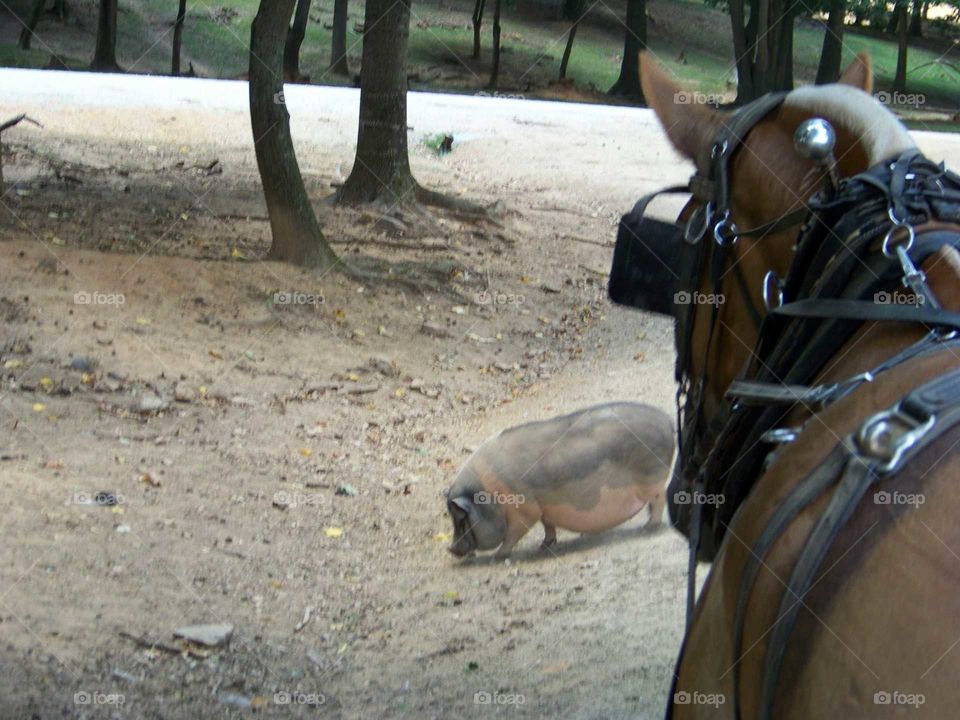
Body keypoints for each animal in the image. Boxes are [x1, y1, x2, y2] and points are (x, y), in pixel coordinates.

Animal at [445, 402, 674, 559]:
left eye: (461, 518)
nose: (451, 549)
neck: (490, 494)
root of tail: (667, 421)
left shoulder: (525, 511)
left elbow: (514, 533)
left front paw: (499, 556)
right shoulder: (544, 507)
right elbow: (548, 525)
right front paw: (544, 546)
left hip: (652, 479)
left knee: (660, 499)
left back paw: (648, 528)